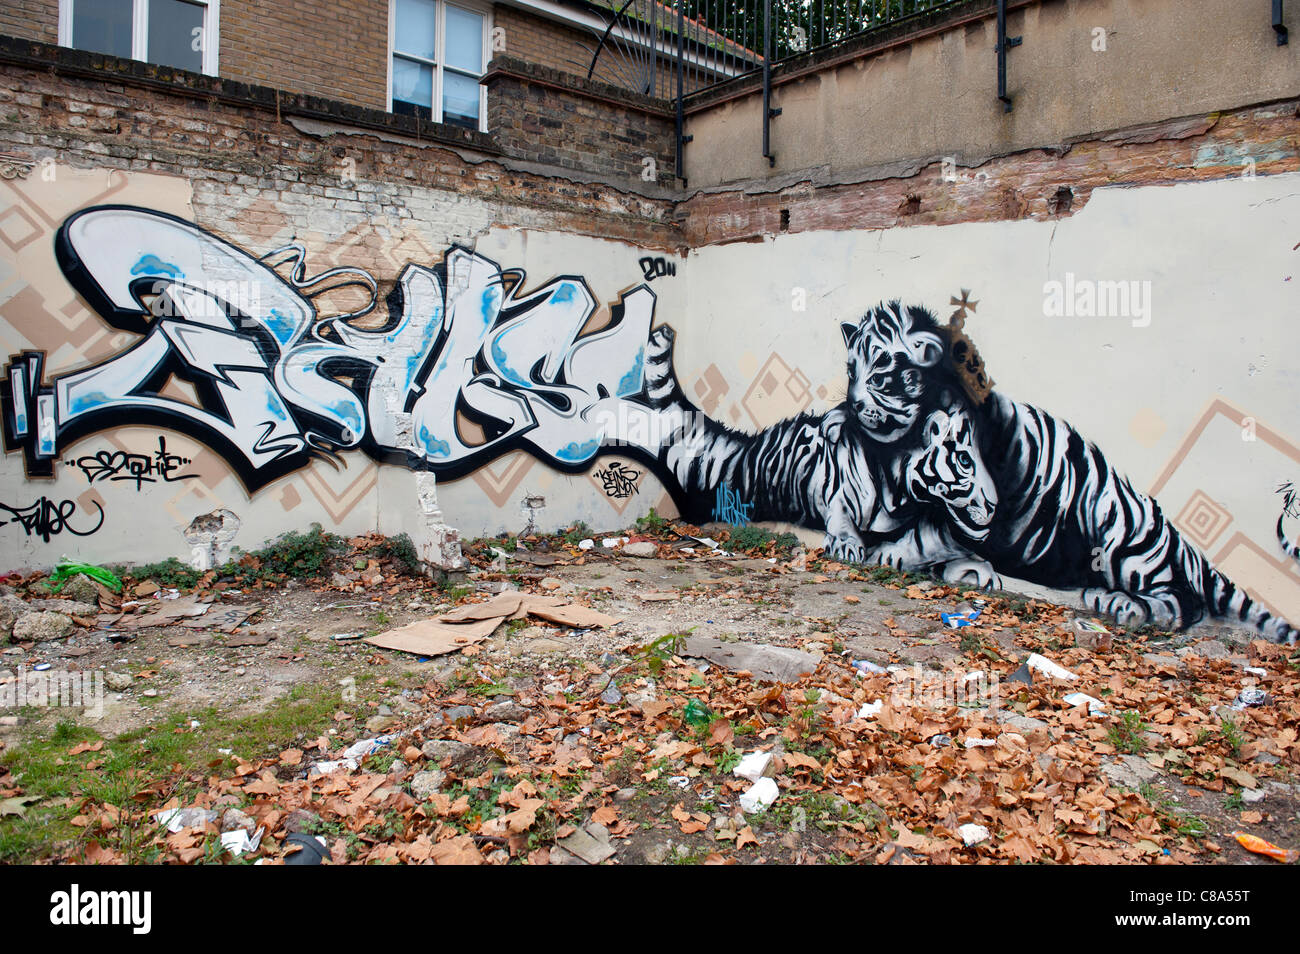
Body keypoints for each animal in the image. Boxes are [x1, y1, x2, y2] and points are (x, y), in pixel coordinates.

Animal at [642, 302, 1300, 647]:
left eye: (882, 371)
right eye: (850, 371)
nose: (849, 407)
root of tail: (1174, 536)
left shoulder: (963, 505)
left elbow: (918, 532)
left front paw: (887, 552)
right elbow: (847, 505)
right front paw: (857, 539)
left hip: (1123, 538)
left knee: (1179, 602)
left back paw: (1120, 604)